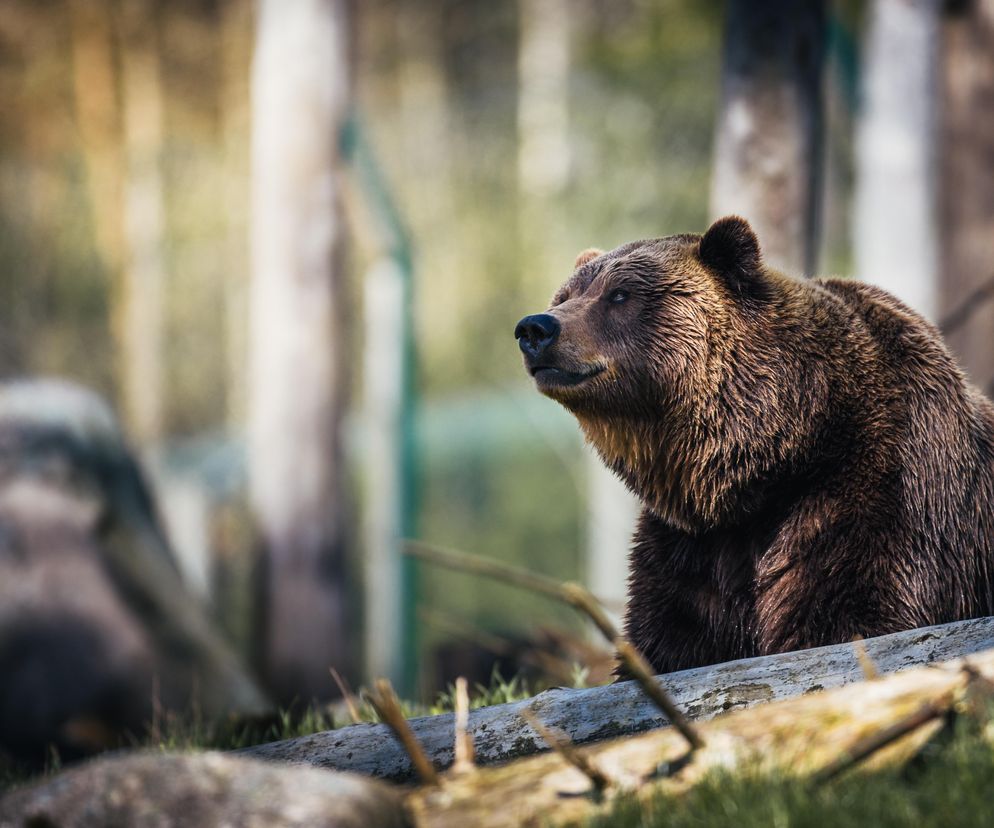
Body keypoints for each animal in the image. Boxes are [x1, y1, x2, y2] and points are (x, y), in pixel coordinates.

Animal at [516, 217, 992, 676]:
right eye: (566, 294)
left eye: (619, 294)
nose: (536, 327)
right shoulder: (693, 549)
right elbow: (670, 639)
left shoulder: (878, 494)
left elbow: (851, 616)